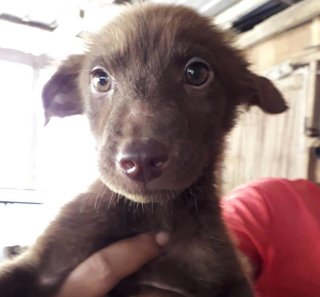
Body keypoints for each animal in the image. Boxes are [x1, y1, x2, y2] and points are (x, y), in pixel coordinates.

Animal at [0, 2, 286, 296]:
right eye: (100, 80)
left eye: (197, 73)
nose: (141, 161)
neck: (154, 213)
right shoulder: (45, 260)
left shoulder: (227, 276)